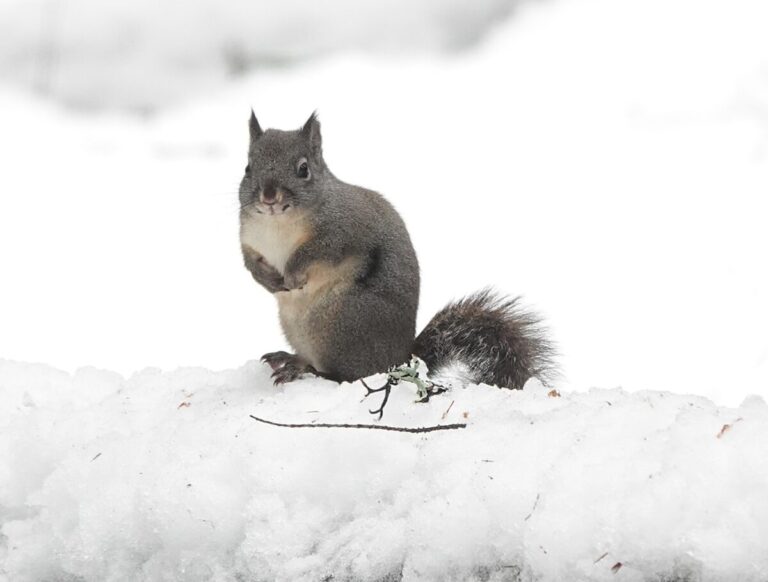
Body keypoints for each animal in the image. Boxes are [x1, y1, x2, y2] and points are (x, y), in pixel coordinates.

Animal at [239, 111, 555, 388]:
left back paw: (305, 371)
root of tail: (401, 360)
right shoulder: (249, 237)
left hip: (339, 322)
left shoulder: (343, 231)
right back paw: (289, 358)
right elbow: (249, 261)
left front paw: (292, 274)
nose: (269, 196)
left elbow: (315, 253)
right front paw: (267, 280)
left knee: (348, 376)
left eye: (303, 169)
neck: (277, 224)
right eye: (248, 167)